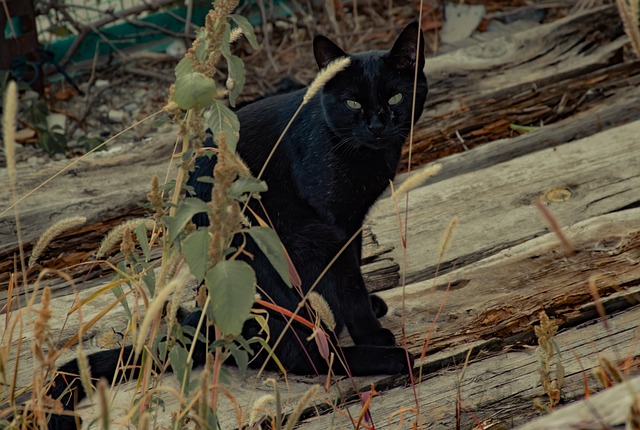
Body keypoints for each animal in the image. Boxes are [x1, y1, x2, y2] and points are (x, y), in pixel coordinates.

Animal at [47, 21, 428, 428]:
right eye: (353, 103)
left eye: (396, 99)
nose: (377, 125)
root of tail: (209, 326)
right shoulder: (333, 223)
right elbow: (350, 286)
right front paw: (373, 334)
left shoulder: (353, 222)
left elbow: (354, 273)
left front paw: (370, 309)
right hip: (293, 251)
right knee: (302, 355)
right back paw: (390, 358)